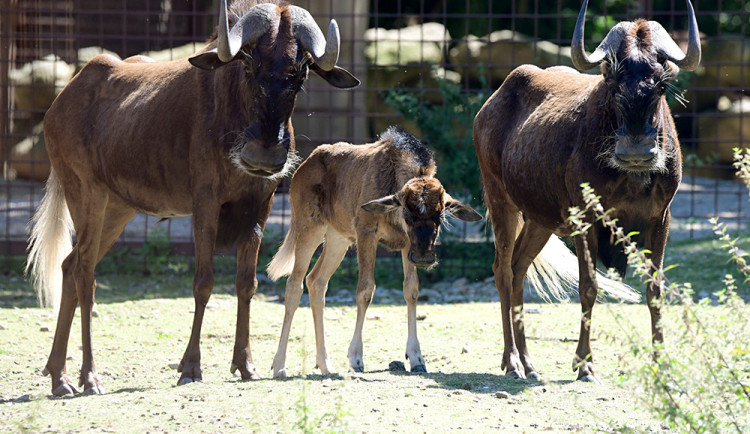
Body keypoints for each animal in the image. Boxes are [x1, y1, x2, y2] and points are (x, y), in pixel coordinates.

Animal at [268, 126, 484, 376]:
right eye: (407, 214)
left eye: (440, 216)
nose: (424, 257)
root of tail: (304, 166)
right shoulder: (366, 234)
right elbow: (365, 290)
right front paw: (356, 357)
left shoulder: (408, 246)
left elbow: (411, 290)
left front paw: (416, 357)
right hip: (309, 228)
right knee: (294, 285)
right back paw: (279, 365)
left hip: (338, 239)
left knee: (316, 282)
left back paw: (325, 364)